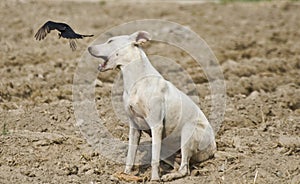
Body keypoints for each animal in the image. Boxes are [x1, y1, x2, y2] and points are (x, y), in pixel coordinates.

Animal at [88, 31, 217, 181]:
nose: (89, 47)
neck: (136, 81)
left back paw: (169, 176)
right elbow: (130, 156)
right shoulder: (134, 127)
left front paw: (154, 178)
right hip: (165, 146)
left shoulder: (156, 125)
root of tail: (214, 148)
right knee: (177, 164)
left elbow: (154, 160)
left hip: (188, 132)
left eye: (110, 41)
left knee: (184, 168)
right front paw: (125, 174)